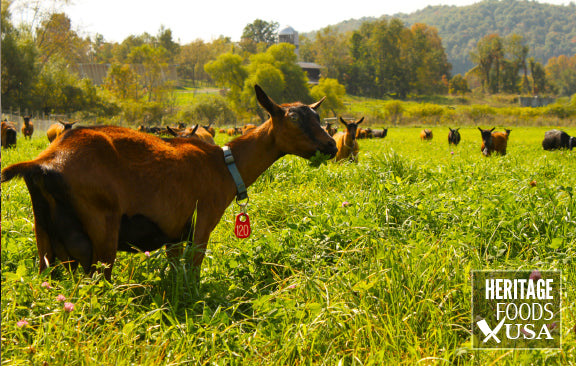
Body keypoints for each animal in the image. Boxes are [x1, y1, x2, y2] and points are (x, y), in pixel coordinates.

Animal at [1, 85, 338, 280]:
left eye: (318, 118)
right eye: (293, 119)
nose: (331, 146)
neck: (223, 162)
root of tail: (45, 162)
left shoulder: (175, 230)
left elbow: (176, 268)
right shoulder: (204, 217)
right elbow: (195, 264)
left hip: (44, 235)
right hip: (102, 229)